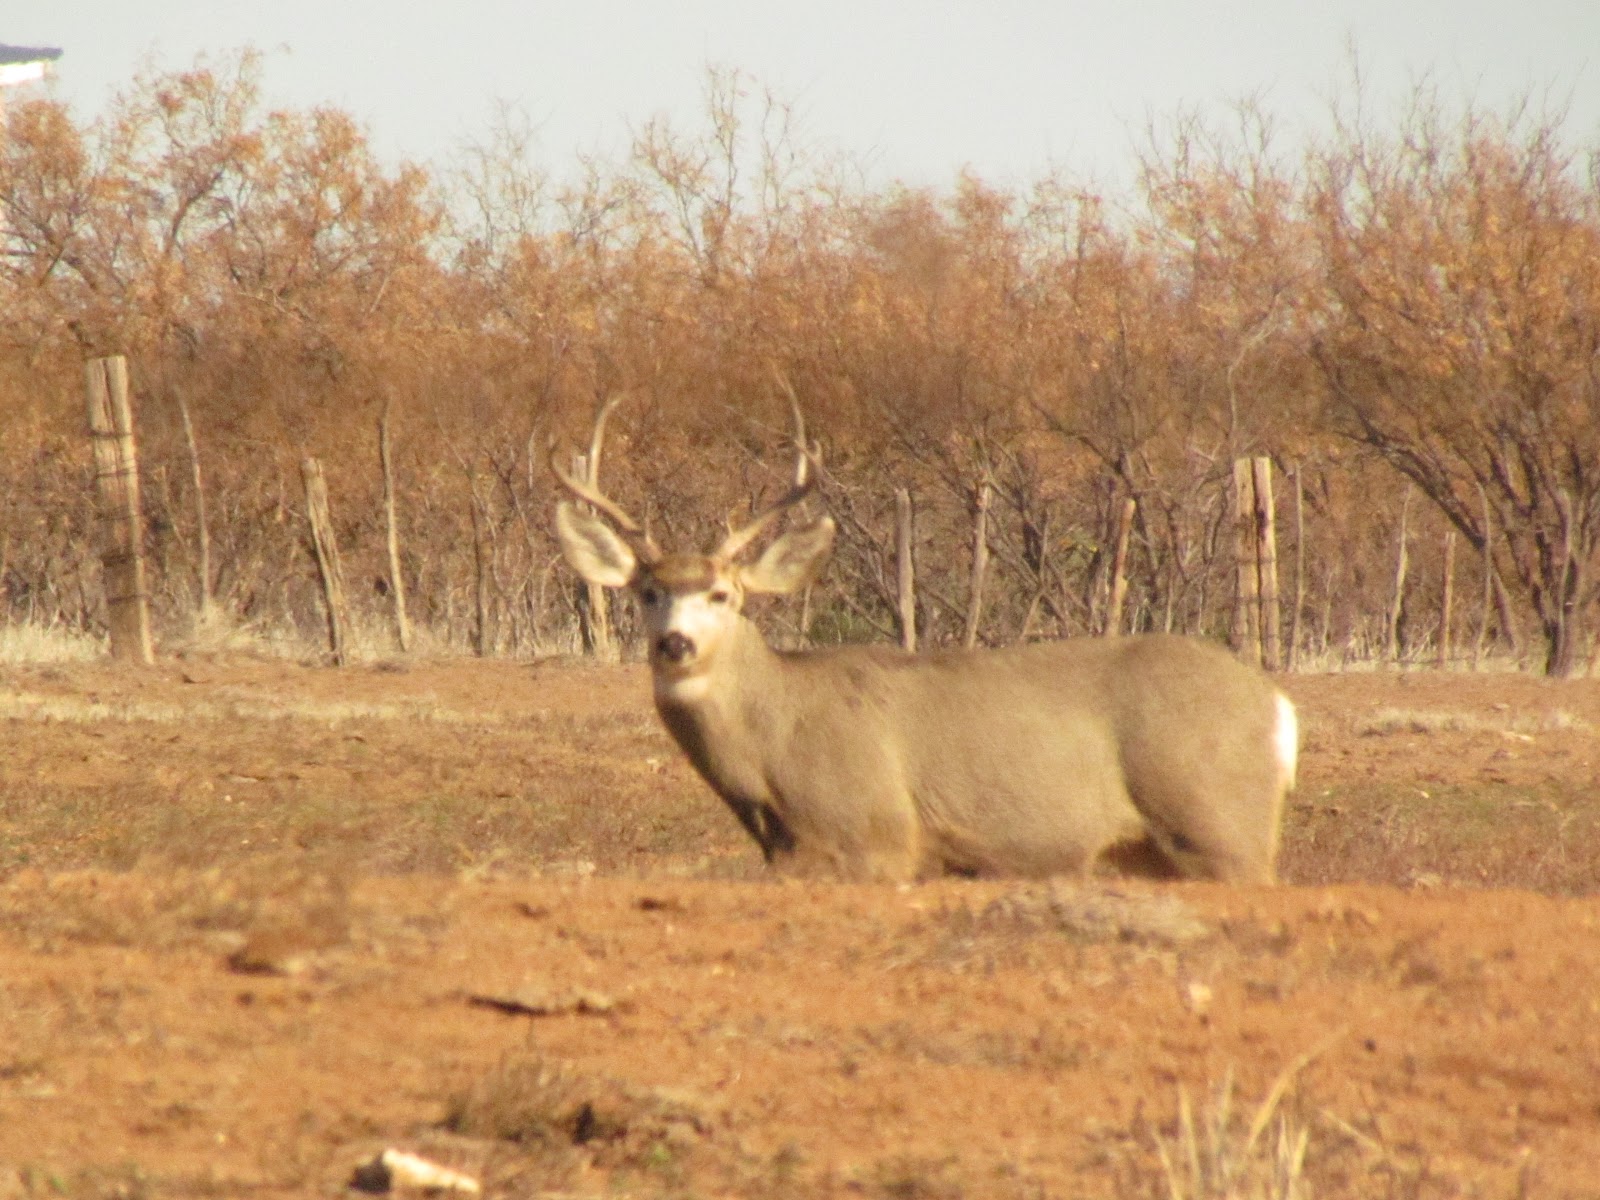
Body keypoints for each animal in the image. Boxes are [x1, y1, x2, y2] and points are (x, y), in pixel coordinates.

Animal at [552, 398, 1298, 884]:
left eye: (723, 595)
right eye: (646, 593)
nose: (675, 644)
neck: (771, 751)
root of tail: (1278, 708)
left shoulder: (871, 834)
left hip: (1221, 824)